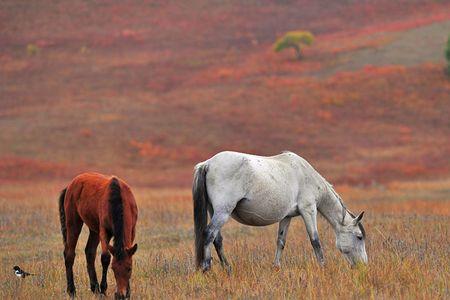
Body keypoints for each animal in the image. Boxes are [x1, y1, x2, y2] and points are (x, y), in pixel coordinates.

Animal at [192, 151, 366, 270]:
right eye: (359, 237)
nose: (363, 265)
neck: (306, 174)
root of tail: (207, 164)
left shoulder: (287, 217)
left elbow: (281, 241)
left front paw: (276, 266)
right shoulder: (309, 210)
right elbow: (315, 240)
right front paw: (323, 266)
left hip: (214, 211)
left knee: (217, 239)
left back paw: (227, 268)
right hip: (223, 212)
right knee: (209, 234)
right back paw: (207, 268)